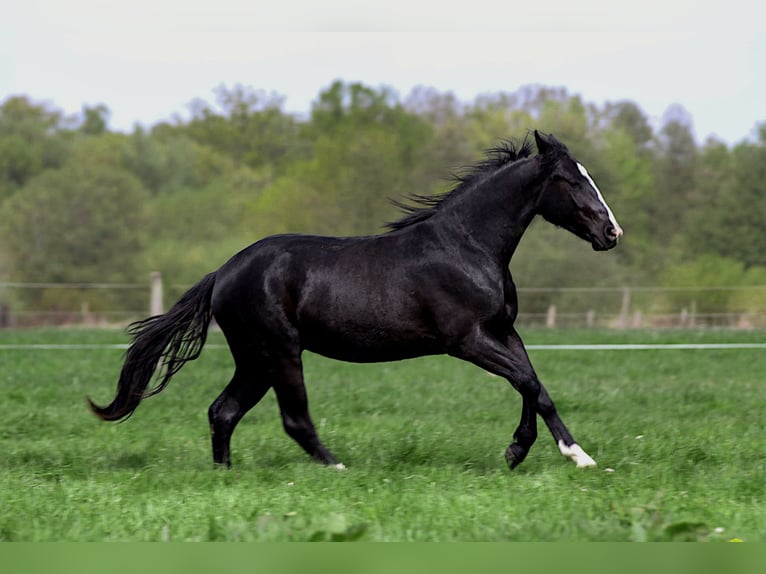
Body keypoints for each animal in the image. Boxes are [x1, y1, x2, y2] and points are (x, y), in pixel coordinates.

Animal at [88, 130, 622, 471]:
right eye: (572, 181)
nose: (611, 233)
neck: (467, 246)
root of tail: (223, 273)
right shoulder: (468, 340)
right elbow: (527, 382)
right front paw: (530, 453)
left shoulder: (503, 331)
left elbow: (537, 387)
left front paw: (568, 455)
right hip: (280, 352)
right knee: (293, 419)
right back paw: (338, 468)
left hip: (255, 359)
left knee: (223, 411)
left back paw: (226, 477)